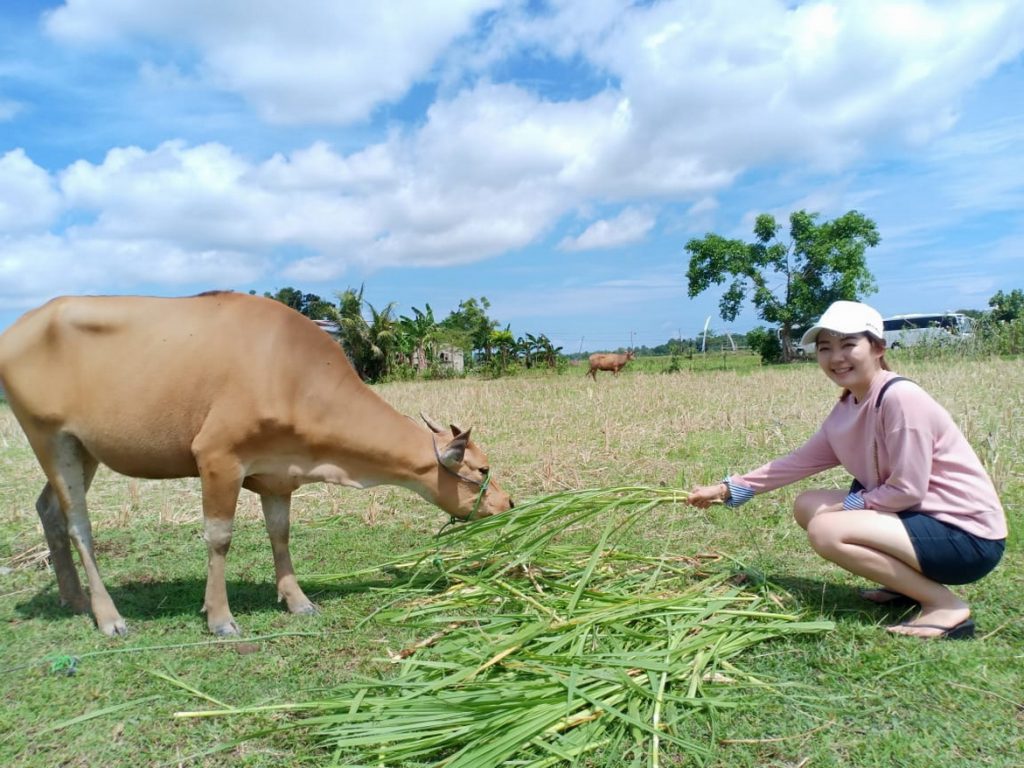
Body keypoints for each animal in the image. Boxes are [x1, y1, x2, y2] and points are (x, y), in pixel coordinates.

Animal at [0, 294, 512, 638]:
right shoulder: (217, 457)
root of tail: (21, 325)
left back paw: (74, 598)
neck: (292, 371)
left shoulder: (276, 476)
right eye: (481, 471)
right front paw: (220, 618)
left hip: (83, 447)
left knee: (48, 510)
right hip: (50, 437)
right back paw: (108, 616)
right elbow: (220, 538)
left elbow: (280, 534)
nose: (508, 503)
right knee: (78, 524)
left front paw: (298, 600)